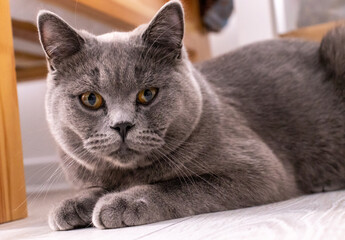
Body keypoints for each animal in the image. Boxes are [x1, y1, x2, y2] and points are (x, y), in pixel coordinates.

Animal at [37, 0, 344, 232]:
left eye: (147, 94)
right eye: (91, 99)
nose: (122, 125)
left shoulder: (260, 169)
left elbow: (177, 185)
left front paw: (120, 203)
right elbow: (96, 185)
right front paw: (72, 205)